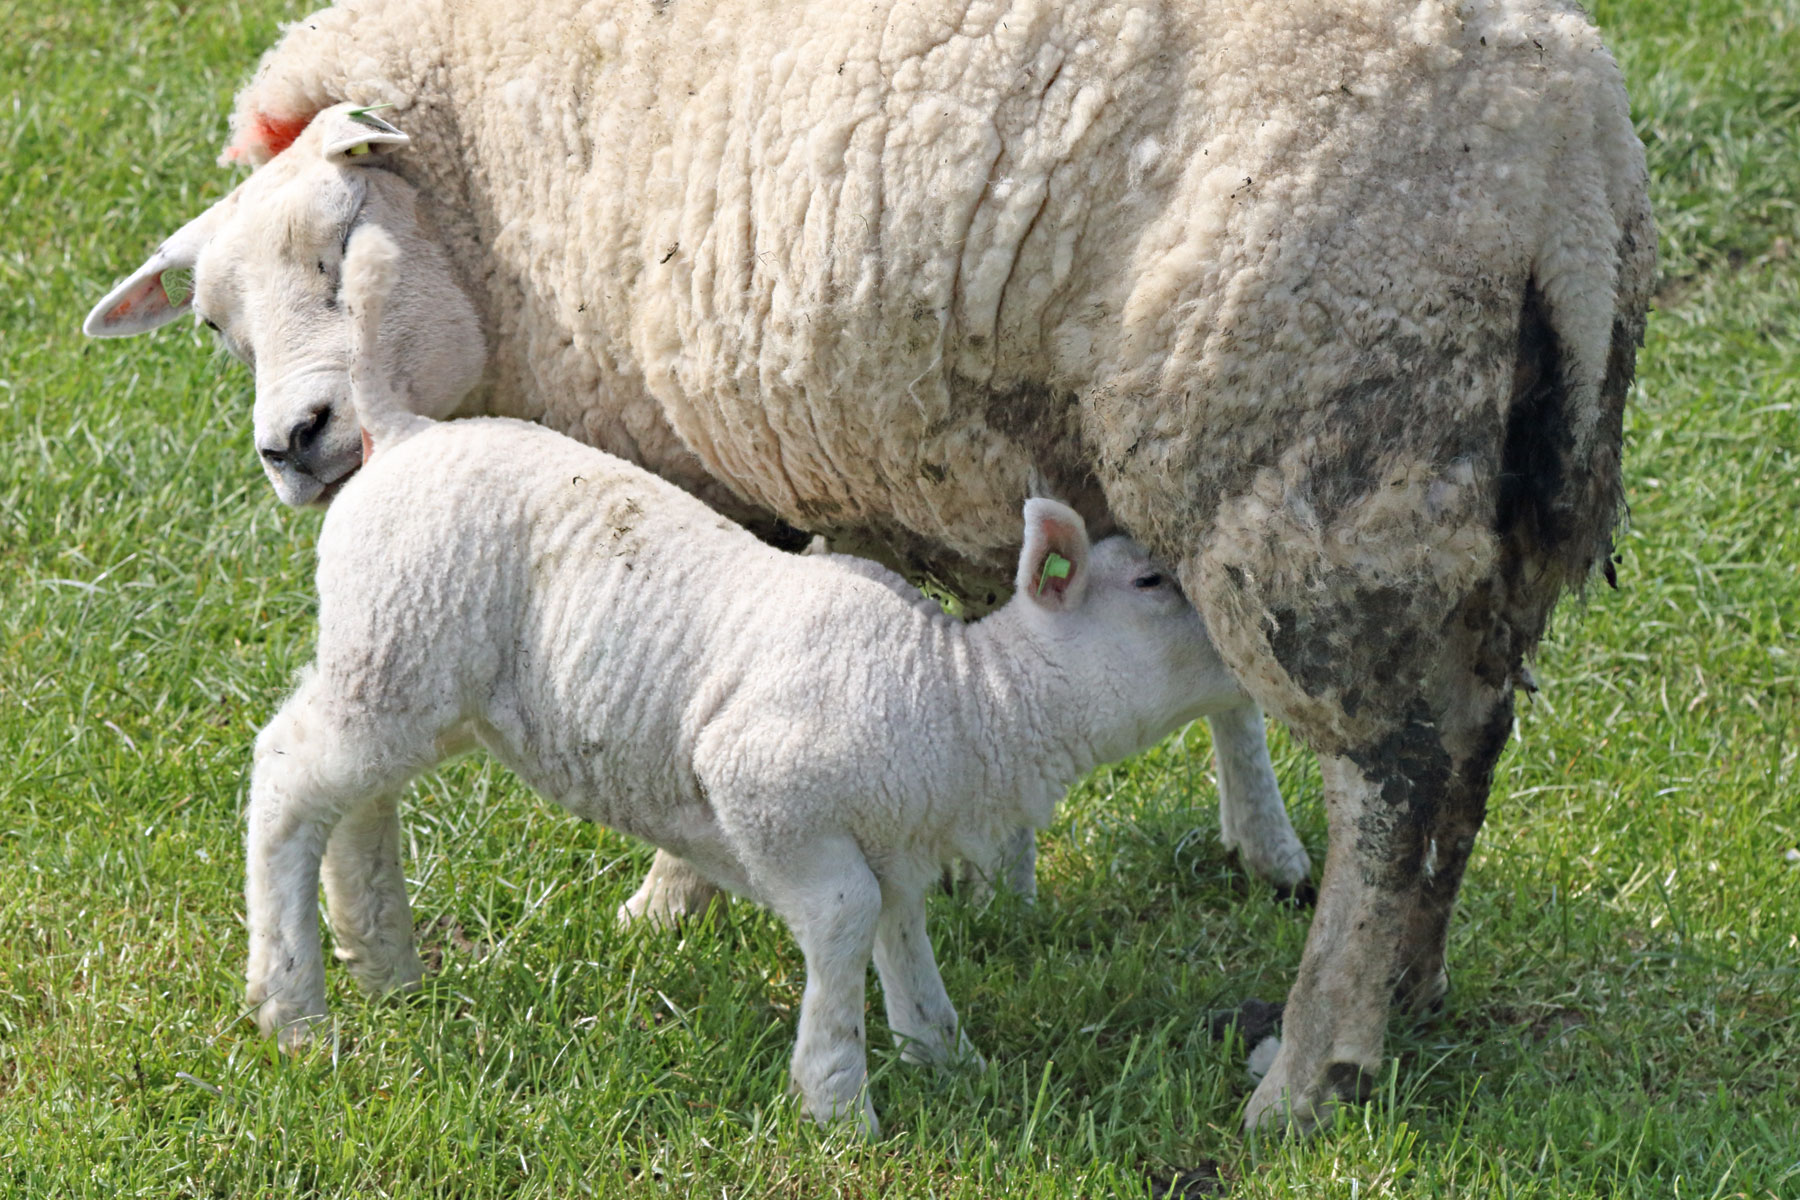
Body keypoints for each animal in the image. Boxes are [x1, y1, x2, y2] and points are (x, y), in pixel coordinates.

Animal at [253, 230, 1252, 1144]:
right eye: (1151, 583)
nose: (1242, 649)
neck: (969, 697)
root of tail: (400, 432)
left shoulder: (892, 832)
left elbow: (901, 930)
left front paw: (944, 1054)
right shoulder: (767, 790)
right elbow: (847, 919)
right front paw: (839, 1101)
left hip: (405, 671)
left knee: (361, 801)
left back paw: (383, 962)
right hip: (400, 641)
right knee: (288, 780)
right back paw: (292, 1005)